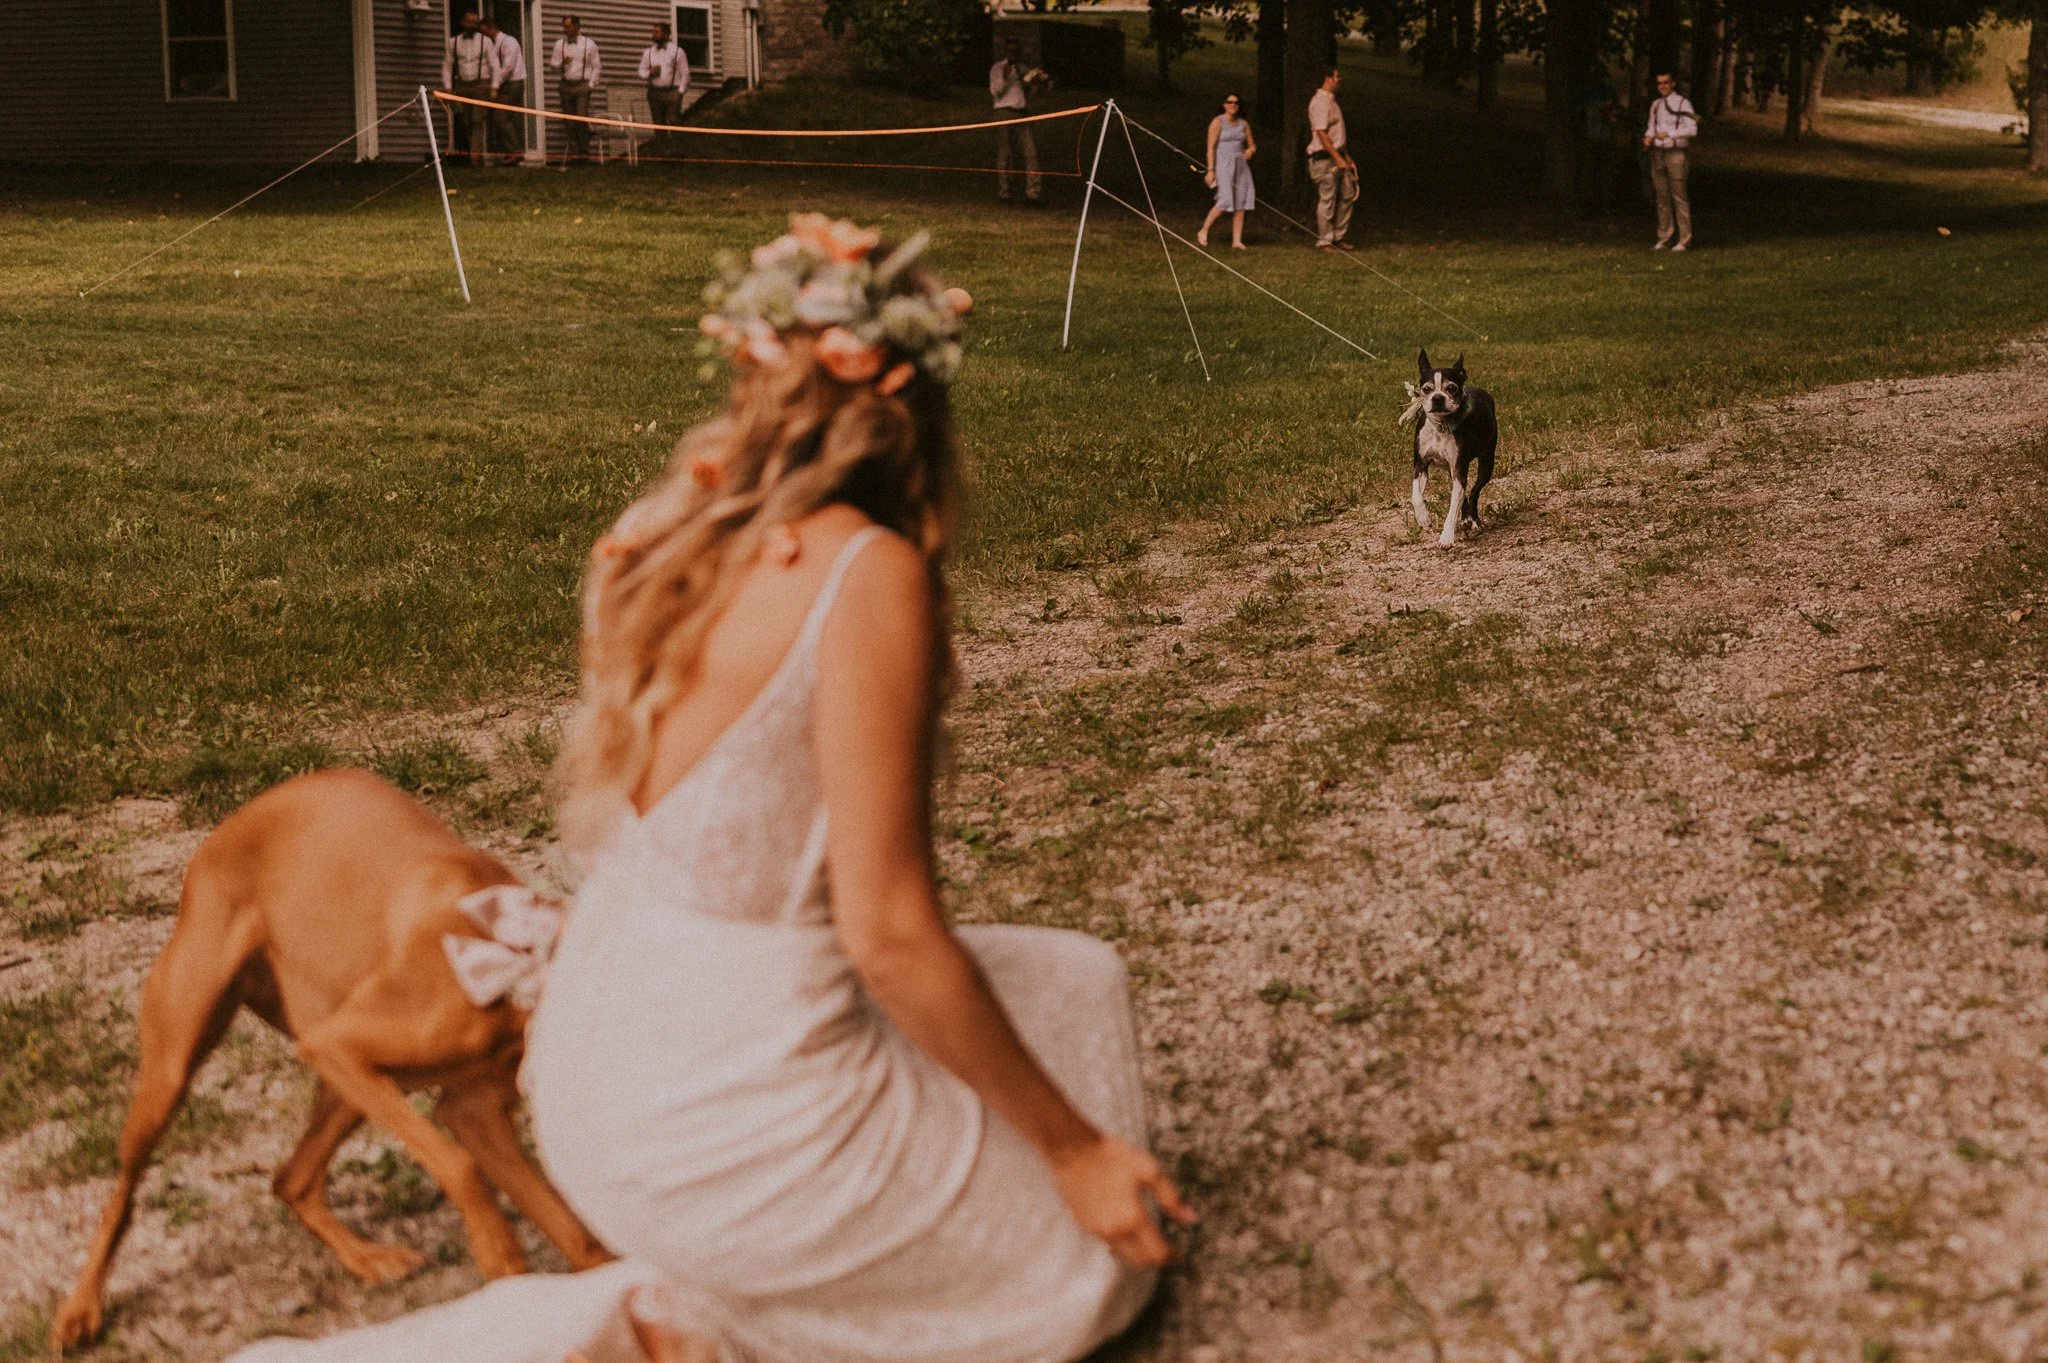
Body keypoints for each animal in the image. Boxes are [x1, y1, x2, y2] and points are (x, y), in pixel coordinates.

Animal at [48, 765, 606, 1350]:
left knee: (289, 1179)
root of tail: (232, 821)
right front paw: (501, 1258)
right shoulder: (341, 1049)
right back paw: (79, 1311)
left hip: (347, 1086)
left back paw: (368, 1258)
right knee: (121, 1199)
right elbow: (461, 1166)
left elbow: (578, 1239)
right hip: (177, 1073)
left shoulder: (473, 1111)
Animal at [1400, 347, 1499, 548]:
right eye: (1426, 389)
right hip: (1450, 470)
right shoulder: (1420, 465)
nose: (1438, 398)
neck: (1441, 426)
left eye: (1451, 388)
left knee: (1474, 491)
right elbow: (1416, 496)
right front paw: (1423, 519)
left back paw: (1472, 519)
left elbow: (1453, 507)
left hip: (1486, 462)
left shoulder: (1459, 467)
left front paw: (1446, 537)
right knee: (1463, 494)